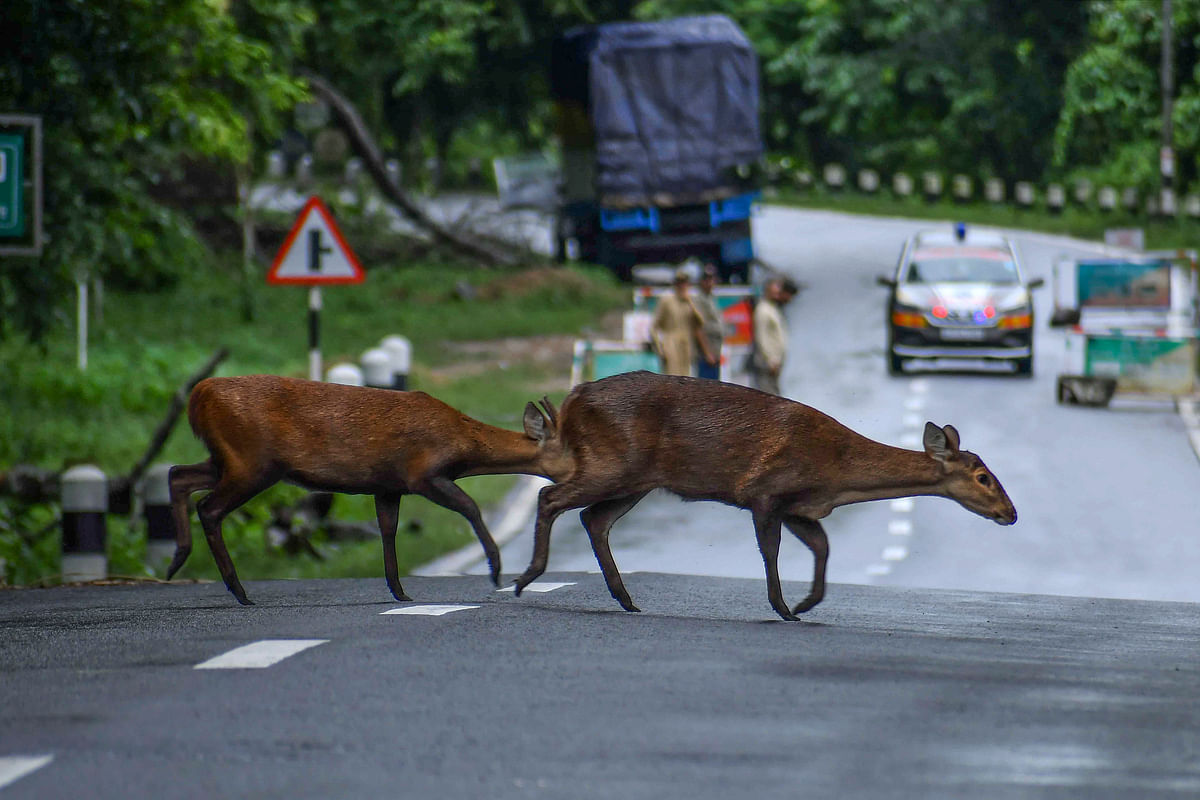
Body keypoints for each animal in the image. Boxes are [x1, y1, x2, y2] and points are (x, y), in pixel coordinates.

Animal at [163, 379, 566, 604]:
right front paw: (496, 570)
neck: (463, 445)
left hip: (229, 459)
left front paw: (399, 591)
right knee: (209, 507)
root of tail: (198, 396)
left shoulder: (387, 485)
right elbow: (470, 506)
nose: (574, 476)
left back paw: (177, 560)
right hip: (252, 461)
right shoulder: (422, 474)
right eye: (568, 449)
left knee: (178, 473)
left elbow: (388, 529)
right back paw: (238, 591)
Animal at [511, 371, 1017, 623]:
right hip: (615, 464)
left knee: (593, 519)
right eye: (983, 476)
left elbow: (822, 546)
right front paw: (783, 608)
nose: (1011, 513)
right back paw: (525, 578)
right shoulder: (766, 491)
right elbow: (771, 551)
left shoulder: (800, 507)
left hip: (637, 479)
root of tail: (573, 399)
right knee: (551, 496)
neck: (837, 473)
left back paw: (625, 599)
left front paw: (806, 604)